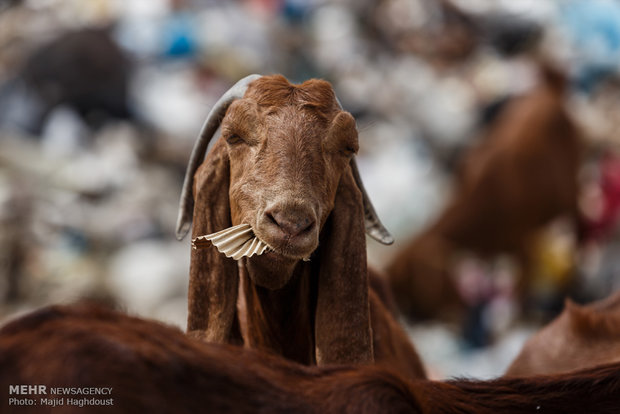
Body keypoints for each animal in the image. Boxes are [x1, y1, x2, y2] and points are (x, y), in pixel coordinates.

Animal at [386, 65, 584, 320]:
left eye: (412, 291)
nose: (413, 318)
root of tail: (550, 89)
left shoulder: (521, 243)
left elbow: (522, 283)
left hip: (569, 182)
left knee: (576, 212)